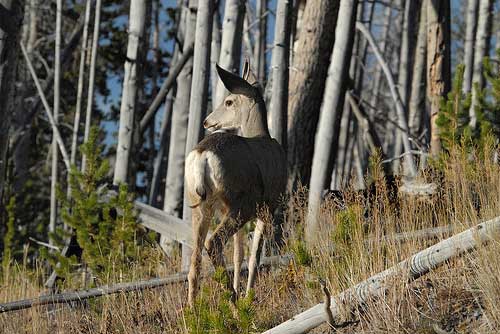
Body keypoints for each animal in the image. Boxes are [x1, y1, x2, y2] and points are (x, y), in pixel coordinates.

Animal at [185, 60, 288, 306]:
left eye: (228, 101)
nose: (206, 121)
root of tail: (202, 156)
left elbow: (238, 255)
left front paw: (243, 291)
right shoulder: (268, 207)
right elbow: (254, 257)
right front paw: (248, 296)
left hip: (201, 206)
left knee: (194, 263)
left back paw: (192, 310)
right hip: (241, 204)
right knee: (214, 244)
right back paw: (233, 302)